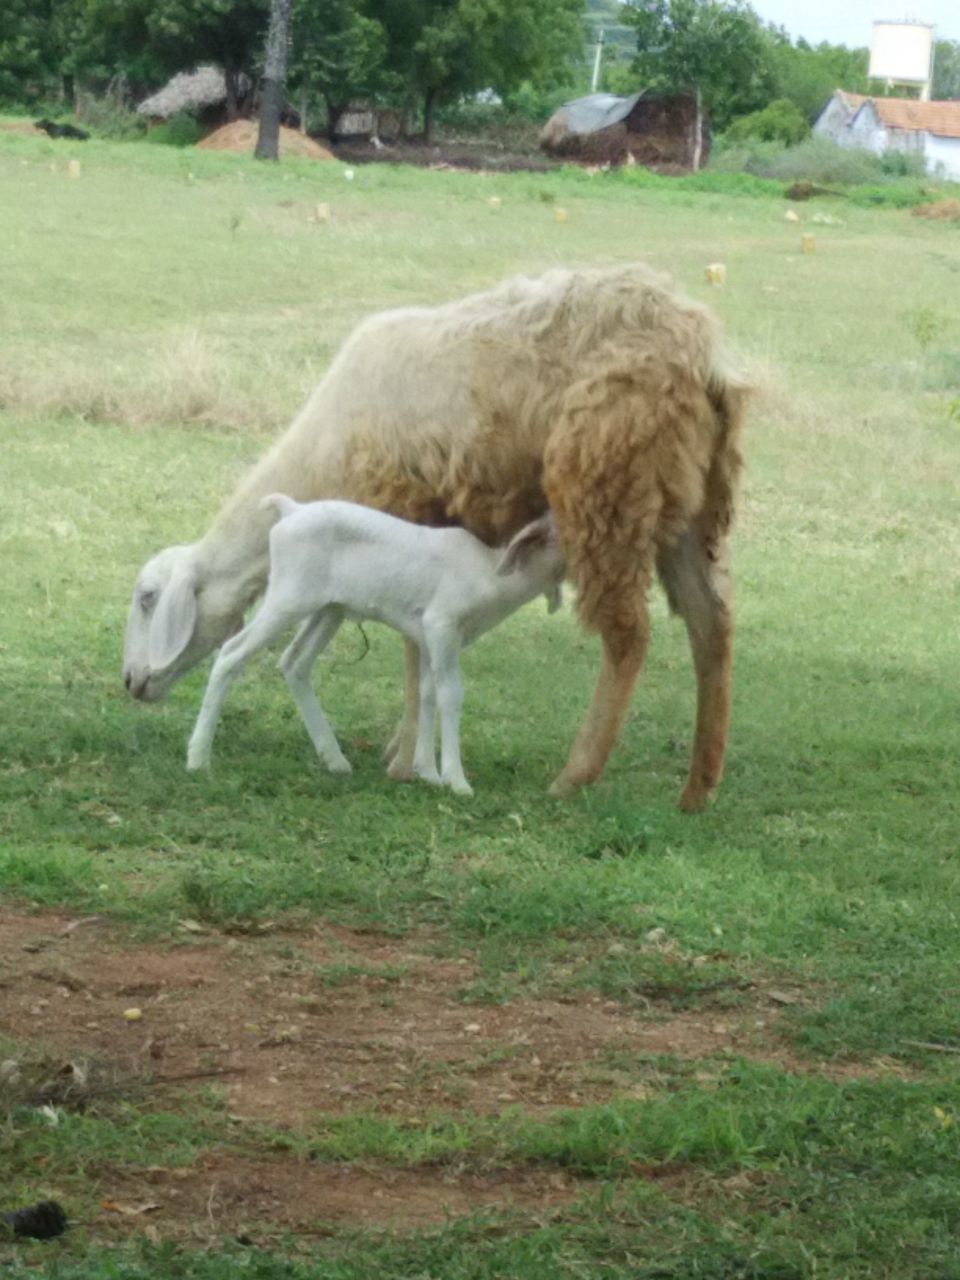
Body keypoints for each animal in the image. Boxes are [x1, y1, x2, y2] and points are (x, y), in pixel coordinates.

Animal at [184, 496, 568, 788]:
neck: (492, 574)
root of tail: (290, 509)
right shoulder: (441, 624)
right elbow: (450, 694)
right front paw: (456, 780)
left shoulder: (429, 636)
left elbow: (427, 693)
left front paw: (428, 773)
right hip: (288, 597)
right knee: (231, 654)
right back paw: (198, 757)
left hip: (329, 608)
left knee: (294, 662)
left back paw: (335, 759)